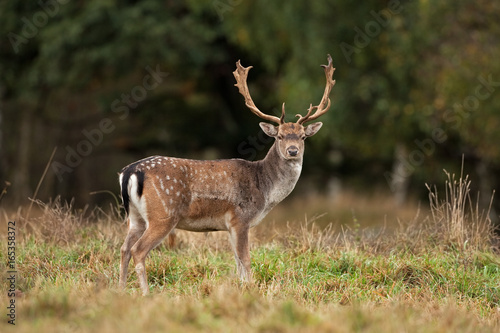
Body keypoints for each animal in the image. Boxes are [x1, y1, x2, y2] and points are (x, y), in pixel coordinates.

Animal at [117, 53, 336, 294]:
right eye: (279, 136)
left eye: (303, 136)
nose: (293, 151)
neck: (264, 190)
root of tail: (129, 172)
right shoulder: (240, 218)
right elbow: (246, 260)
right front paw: (252, 290)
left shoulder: (229, 226)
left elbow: (237, 262)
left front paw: (242, 289)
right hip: (163, 215)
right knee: (138, 250)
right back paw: (146, 293)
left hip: (135, 217)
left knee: (124, 249)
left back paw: (120, 290)